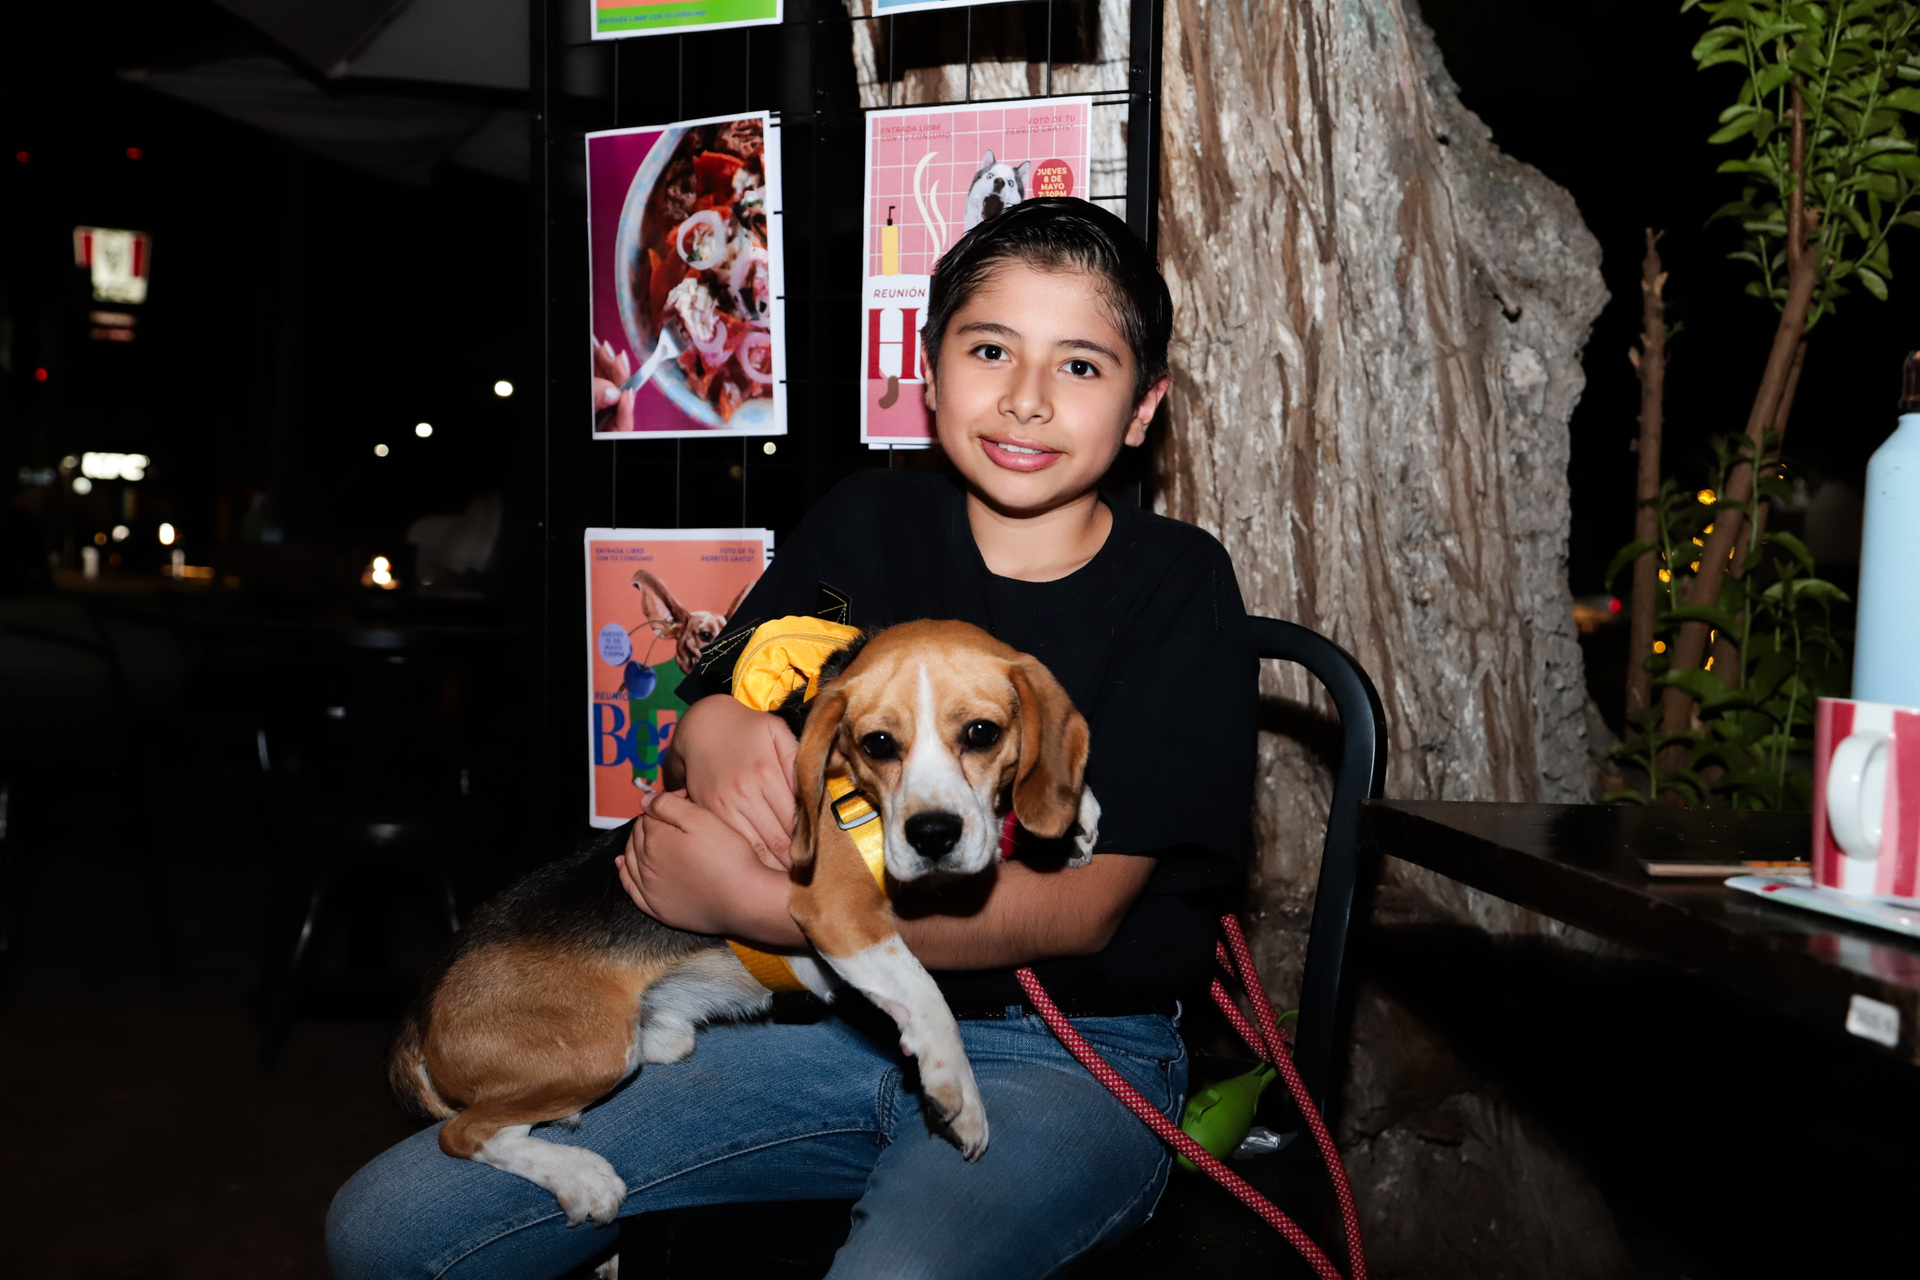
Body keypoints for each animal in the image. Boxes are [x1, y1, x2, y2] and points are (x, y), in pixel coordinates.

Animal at [388, 621, 1102, 1227]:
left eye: (983, 733)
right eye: (878, 744)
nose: (932, 835)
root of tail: (419, 1015)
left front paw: (1073, 817)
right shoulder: (837, 911)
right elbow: (926, 992)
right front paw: (958, 1089)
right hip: (594, 1051)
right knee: (466, 1133)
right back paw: (580, 1177)